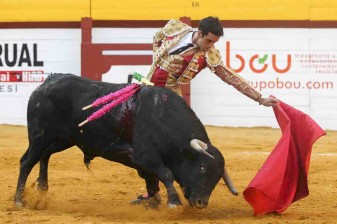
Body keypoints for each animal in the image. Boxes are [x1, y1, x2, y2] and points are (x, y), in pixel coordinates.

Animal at [14, 73, 238, 208]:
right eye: (202, 168)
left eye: (217, 177)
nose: (201, 202)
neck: (162, 116)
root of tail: (47, 82)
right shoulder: (144, 156)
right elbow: (165, 173)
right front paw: (172, 201)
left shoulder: (145, 164)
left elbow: (153, 180)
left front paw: (152, 203)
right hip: (39, 136)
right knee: (27, 162)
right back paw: (19, 200)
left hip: (61, 139)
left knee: (45, 156)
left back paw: (43, 189)